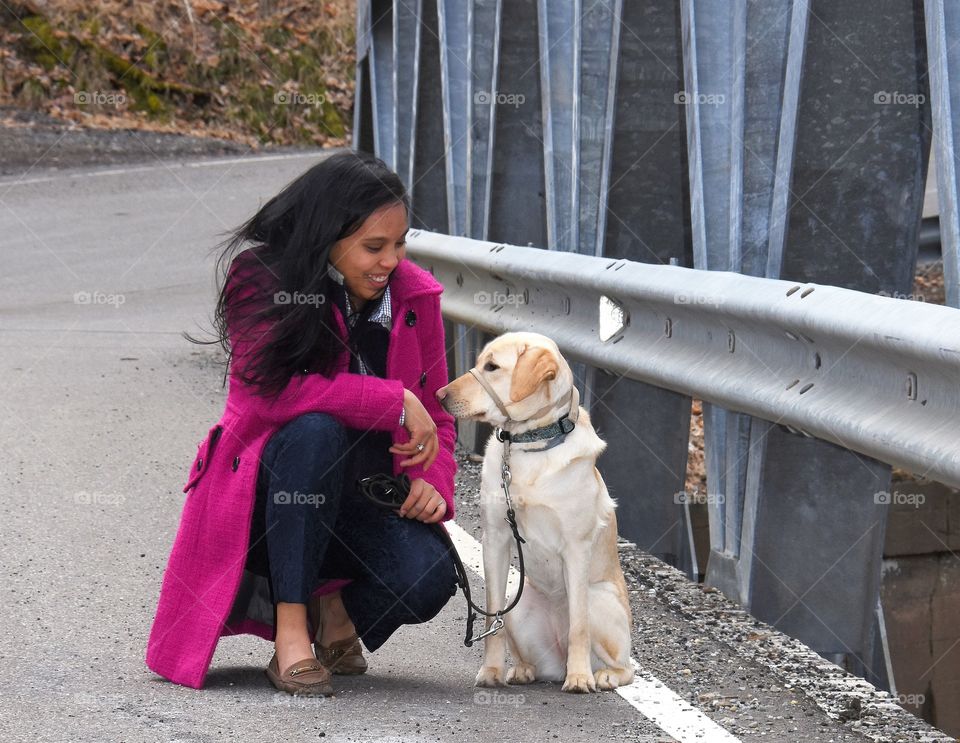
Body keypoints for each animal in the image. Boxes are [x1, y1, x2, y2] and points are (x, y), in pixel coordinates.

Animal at [436, 332, 632, 692]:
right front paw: (492, 671)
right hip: (519, 601)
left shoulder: (576, 548)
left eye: (492, 367)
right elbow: (492, 618)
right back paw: (523, 669)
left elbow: (579, 627)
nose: (439, 395)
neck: (529, 444)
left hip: (598, 597)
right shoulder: (496, 540)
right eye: (478, 361)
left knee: (623, 665)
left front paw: (579, 677)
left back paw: (601, 674)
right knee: (531, 656)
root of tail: (557, 659)